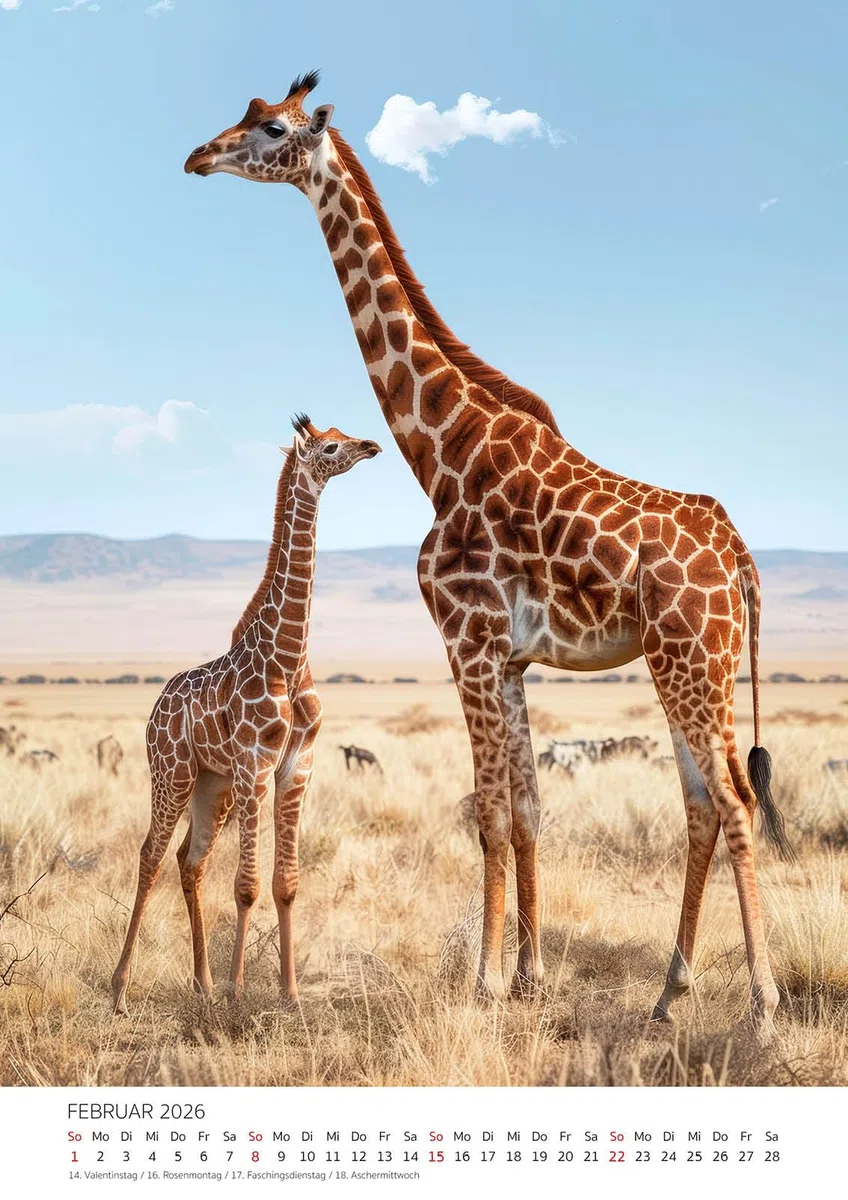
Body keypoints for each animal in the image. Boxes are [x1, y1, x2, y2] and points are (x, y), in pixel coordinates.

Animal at [111, 416, 380, 1013]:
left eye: (344, 433)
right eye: (331, 446)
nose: (372, 446)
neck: (288, 655)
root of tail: (156, 708)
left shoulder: (297, 766)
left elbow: (285, 884)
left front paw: (289, 993)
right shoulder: (256, 763)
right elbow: (247, 885)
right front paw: (240, 992)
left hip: (213, 785)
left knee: (190, 861)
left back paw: (203, 984)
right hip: (173, 773)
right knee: (150, 857)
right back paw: (120, 989)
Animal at [184, 72, 794, 1031]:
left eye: (272, 129)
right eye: (244, 116)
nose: (197, 156)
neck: (443, 450)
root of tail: (738, 553)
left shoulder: (466, 642)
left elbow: (489, 816)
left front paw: (484, 984)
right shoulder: (508, 659)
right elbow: (530, 810)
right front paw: (532, 977)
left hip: (695, 662)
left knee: (733, 802)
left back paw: (763, 1004)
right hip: (687, 665)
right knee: (701, 802)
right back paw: (667, 993)